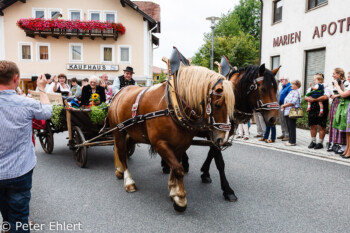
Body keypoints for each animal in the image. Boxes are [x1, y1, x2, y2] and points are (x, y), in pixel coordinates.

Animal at [108, 65, 235, 211]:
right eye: (217, 105)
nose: (222, 139)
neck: (172, 107)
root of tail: (119, 93)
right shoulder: (160, 144)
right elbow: (179, 169)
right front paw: (180, 198)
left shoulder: (181, 145)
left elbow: (175, 167)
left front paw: (173, 190)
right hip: (119, 132)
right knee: (122, 153)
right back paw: (128, 181)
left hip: (132, 134)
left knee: (124, 150)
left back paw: (119, 171)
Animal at [161, 62, 278, 202]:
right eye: (263, 89)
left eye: (276, 89)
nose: (274, 119)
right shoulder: (214, 133)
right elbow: (219, 161)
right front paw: (227, 190)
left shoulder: (218, 136)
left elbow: (211, 154)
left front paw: (205, 172)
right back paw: (167, 164)